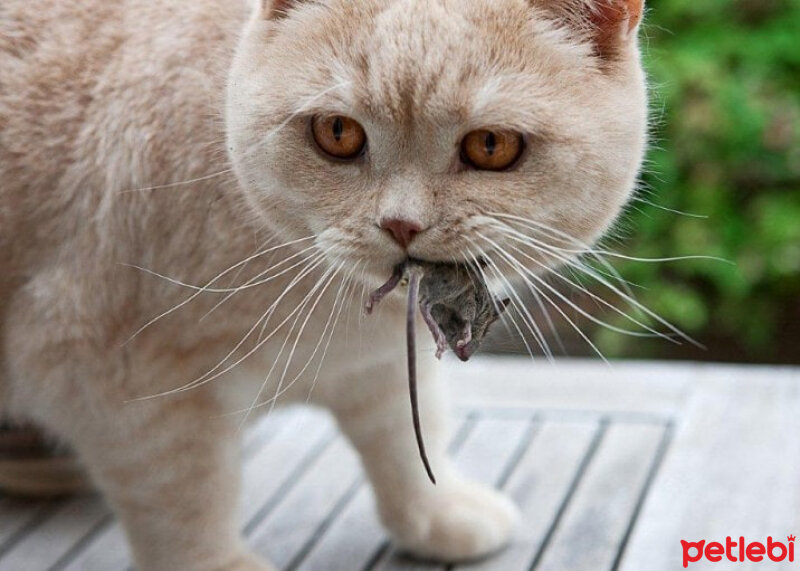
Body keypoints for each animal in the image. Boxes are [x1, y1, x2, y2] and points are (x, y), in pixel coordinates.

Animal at [0, 0, 648, 568]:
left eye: (491, 145)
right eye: (337, 132)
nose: (402, 224)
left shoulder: (377, 367)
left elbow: (408, 440)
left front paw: (437, 515)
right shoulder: (118, 383)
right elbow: (185, 499)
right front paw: (217, 564)